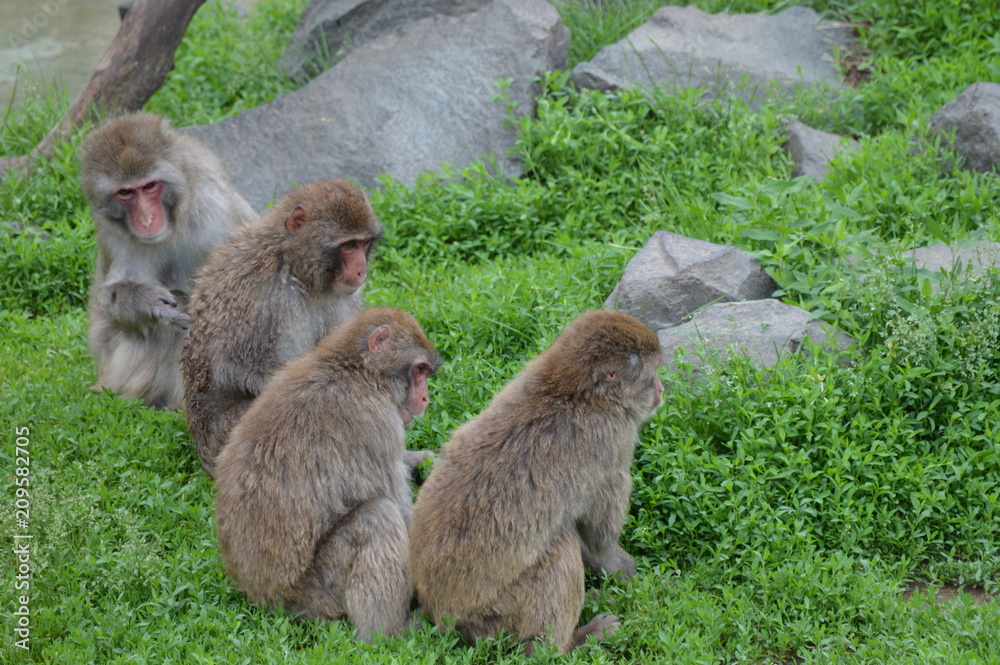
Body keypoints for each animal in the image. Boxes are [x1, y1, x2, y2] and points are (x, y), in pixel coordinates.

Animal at [82, 111, 256, 408]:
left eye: (150, 186)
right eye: (126, 193)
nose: (146, 220)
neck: (174, 221)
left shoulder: (214, 210)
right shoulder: (111, 231)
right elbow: (108, 299)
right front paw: (146, 302)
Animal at [180, 178, 382, 478]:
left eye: (363, 244)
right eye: (348, 246)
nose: (361, 271)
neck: (293, 266)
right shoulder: (261, 293)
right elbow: (233, 363)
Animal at [215, 308, 442, 644]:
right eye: (420, 370)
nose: (425, 399)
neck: (358, 372)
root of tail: (264, 598)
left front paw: (424, 460)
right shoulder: (375, 423)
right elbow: (402, 513)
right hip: (316, 593)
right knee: (376, 516)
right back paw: (387, 632)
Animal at [406, 310, 664, 652]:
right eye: (651, 374)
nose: (661, 388)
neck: (575, 392)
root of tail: (440, 614)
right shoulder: (613, 445)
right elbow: (600, 538)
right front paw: (624, 570)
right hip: (497, 614)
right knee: (561, 546)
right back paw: (570, 641)